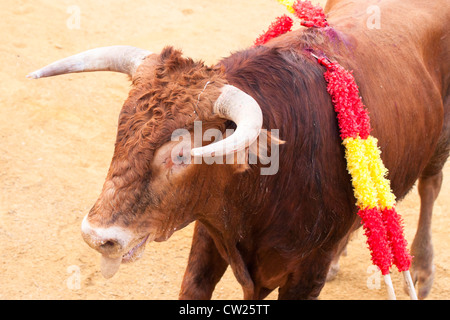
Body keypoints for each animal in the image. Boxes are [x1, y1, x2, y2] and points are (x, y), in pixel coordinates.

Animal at [29, 0, 450, 300]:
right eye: (122, 130)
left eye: (181, 154)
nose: (97, 237)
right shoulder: (207, 238)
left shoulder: (305, 275)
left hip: (439, 144)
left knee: (430, 187)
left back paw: (421, 270)